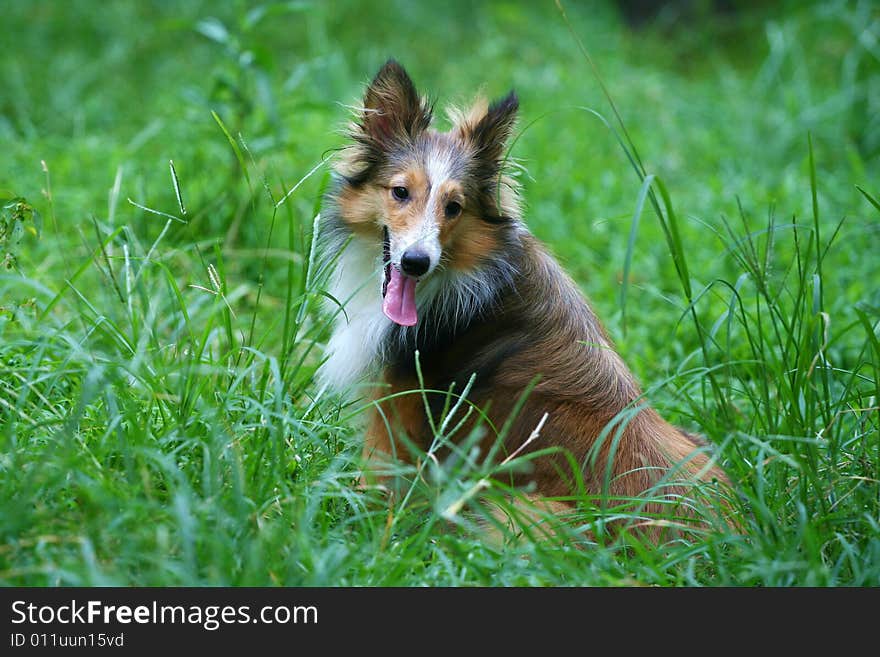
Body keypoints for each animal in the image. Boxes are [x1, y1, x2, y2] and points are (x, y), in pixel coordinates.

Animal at [316, 57, 728, 540]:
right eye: (400, 192)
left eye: (453, 207)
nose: (416, 261)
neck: (469, 277)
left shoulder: (397, 409)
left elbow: (376, 485)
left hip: (515, 511)